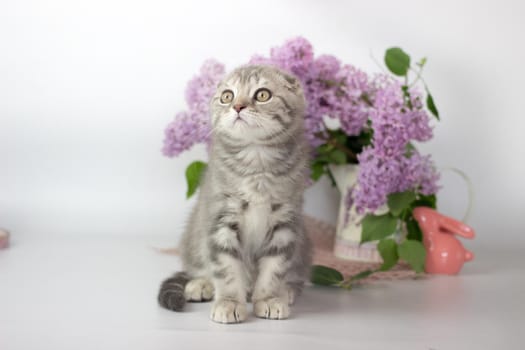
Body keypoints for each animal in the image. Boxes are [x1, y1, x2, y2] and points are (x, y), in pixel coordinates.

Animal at [158, 65, 310, 322]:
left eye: (262, 94)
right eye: (227, 96)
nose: (238, 106)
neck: (256, 160)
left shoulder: (286, 223)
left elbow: (275, 267)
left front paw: (269, 298)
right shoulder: (220, 219)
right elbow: (226, 268)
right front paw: (229, 303)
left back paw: (287, 290)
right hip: (194, 236)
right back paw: (201, 284)